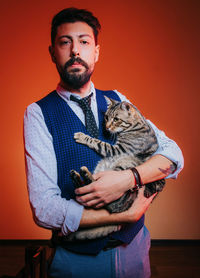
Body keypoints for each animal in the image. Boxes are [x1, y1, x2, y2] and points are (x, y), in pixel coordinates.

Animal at [67, 96, 166, 240]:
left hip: (123, 169)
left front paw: (82, 136)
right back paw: (77, 175)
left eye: (116, 119)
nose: (107, 127)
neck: (136, 125)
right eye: (106, 117)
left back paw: (84, 174)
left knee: (107, 202)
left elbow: (98, 142)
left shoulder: (118, 150)